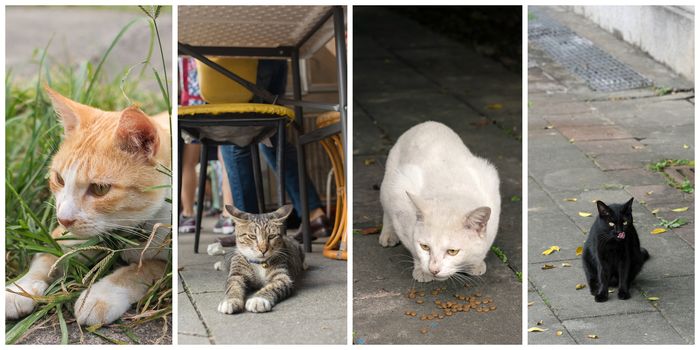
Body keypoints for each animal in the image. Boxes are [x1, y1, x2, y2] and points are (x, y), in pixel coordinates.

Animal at [4, 87, 172, 326]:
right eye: (59, 179)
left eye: (100, 189)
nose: (64, 218)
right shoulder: (65, 235)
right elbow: (48, 257)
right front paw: (20, 289)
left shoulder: (167, 261)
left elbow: (140, 270)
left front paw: (100, 295)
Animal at [380, 121, 500, 284]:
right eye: (425, 247)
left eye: (452, 251)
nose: (434, 270)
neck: (450, 191)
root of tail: (427, 123)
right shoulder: (400, 200)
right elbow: (412, 246)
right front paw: (421, 270)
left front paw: (475, 264)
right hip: (389, 184)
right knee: (387, 211)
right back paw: (388, 234)